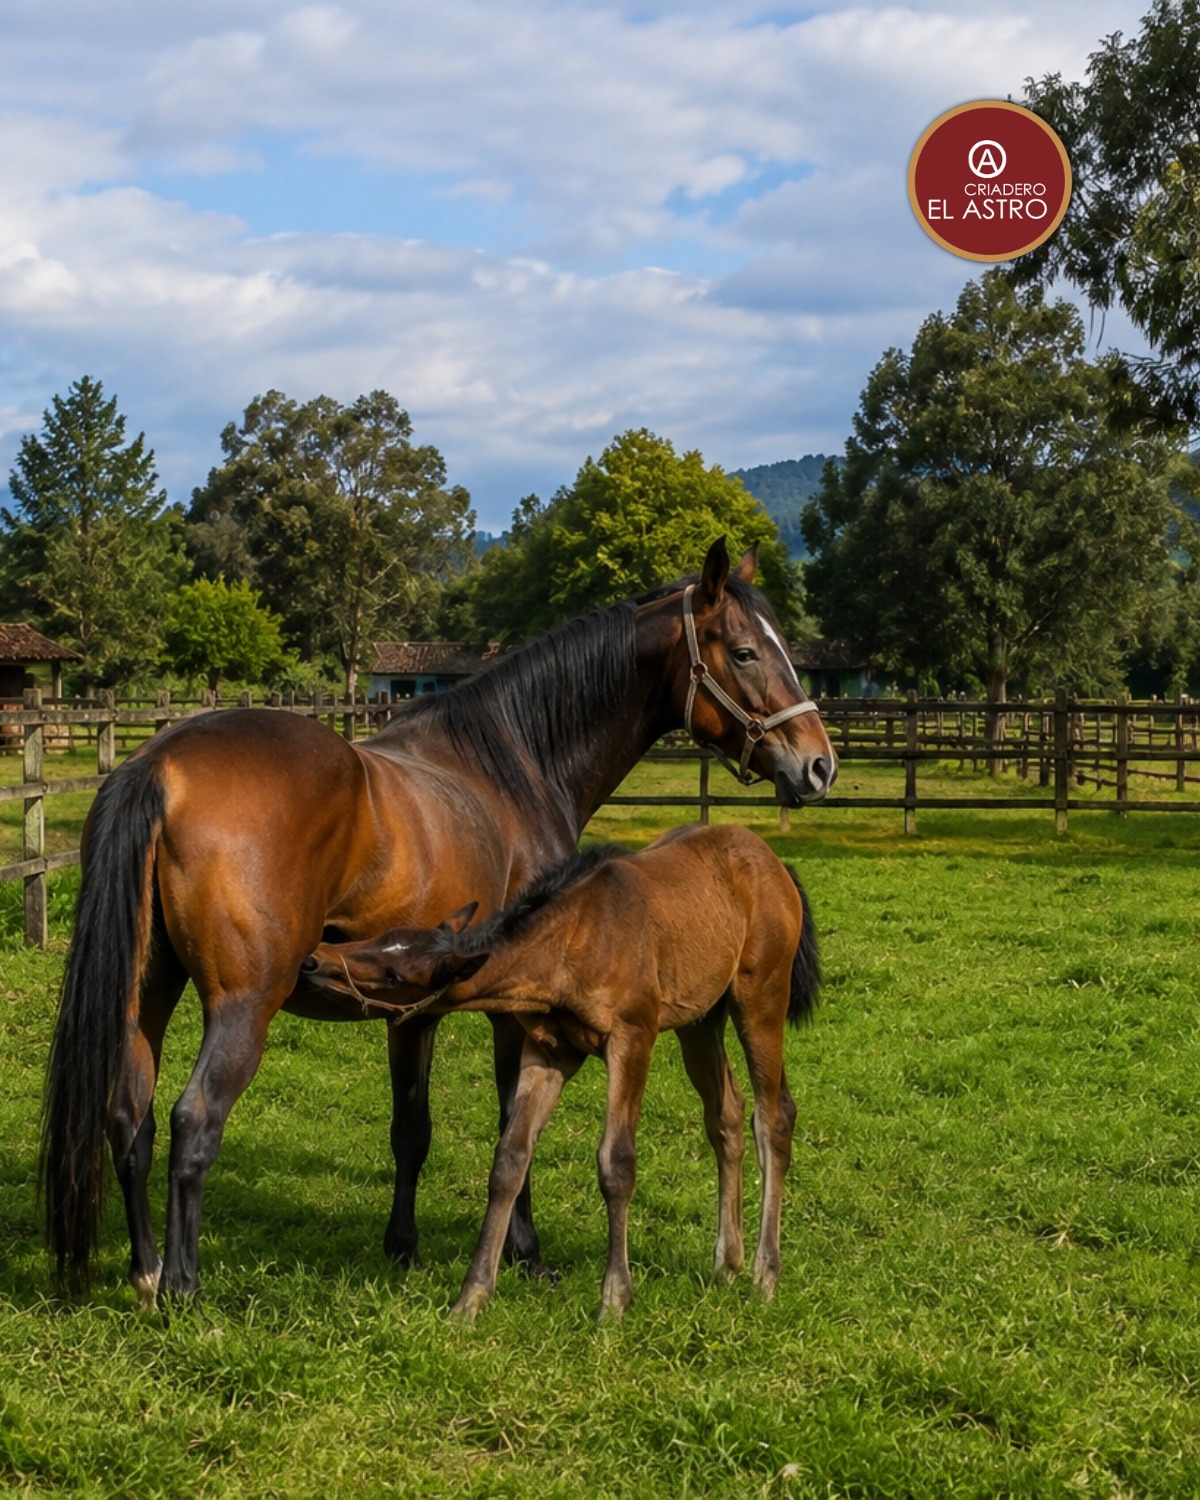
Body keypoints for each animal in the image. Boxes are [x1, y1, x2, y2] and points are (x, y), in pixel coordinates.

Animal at [301, 823, 819, 1320]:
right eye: (379, 939)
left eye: (395, 976)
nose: (312, 961)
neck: (580, 938)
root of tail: (777, 867)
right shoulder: (548, 1051)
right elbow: (509, 1158)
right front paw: (470, 1300)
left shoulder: (633, 1038)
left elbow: (617, 1163)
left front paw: (614, 1301)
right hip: (700, 1019)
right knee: (725, 1113)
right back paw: (726, 1264)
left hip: (761, 998)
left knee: (774, 1115)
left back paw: (764, 1276)